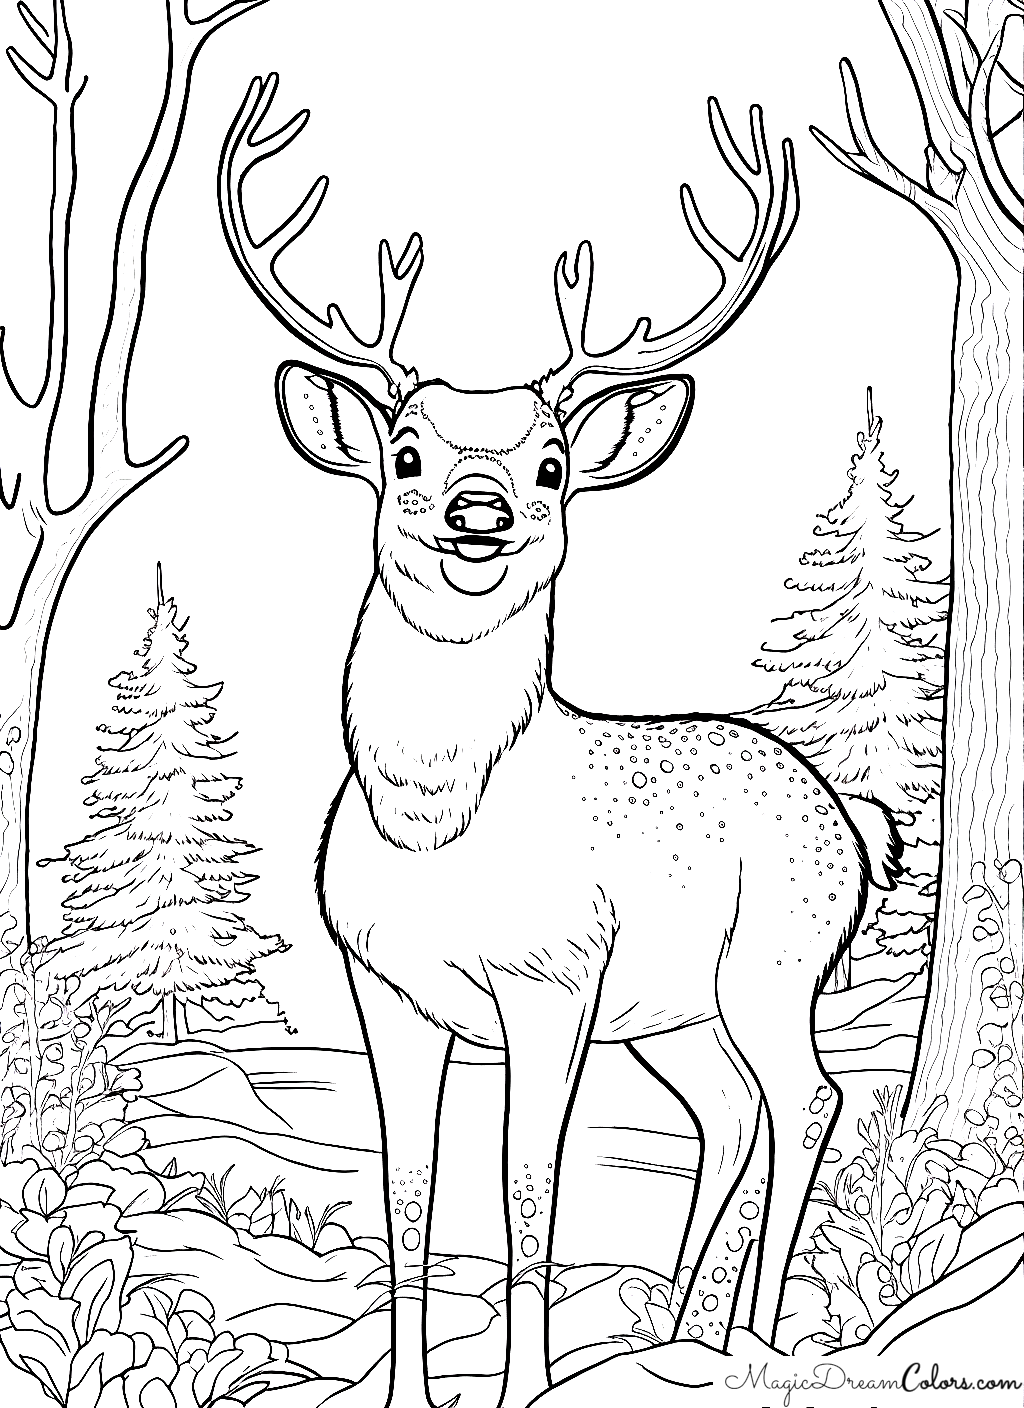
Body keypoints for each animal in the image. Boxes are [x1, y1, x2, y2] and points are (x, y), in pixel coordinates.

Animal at [219, 74, 903, 1408]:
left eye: (549, 464)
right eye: (404, 453)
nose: (477, 510)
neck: (438, 825)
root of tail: (853, 822)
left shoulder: (553, 975)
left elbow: (527, 1186)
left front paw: (521, 1384)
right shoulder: (384, 985)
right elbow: (408, 1190)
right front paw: (408, 1390)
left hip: (773, 961)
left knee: (808, 1095)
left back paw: (748, 1338)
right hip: (678, 1010)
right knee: (725, 1113)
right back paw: (675, 1335)